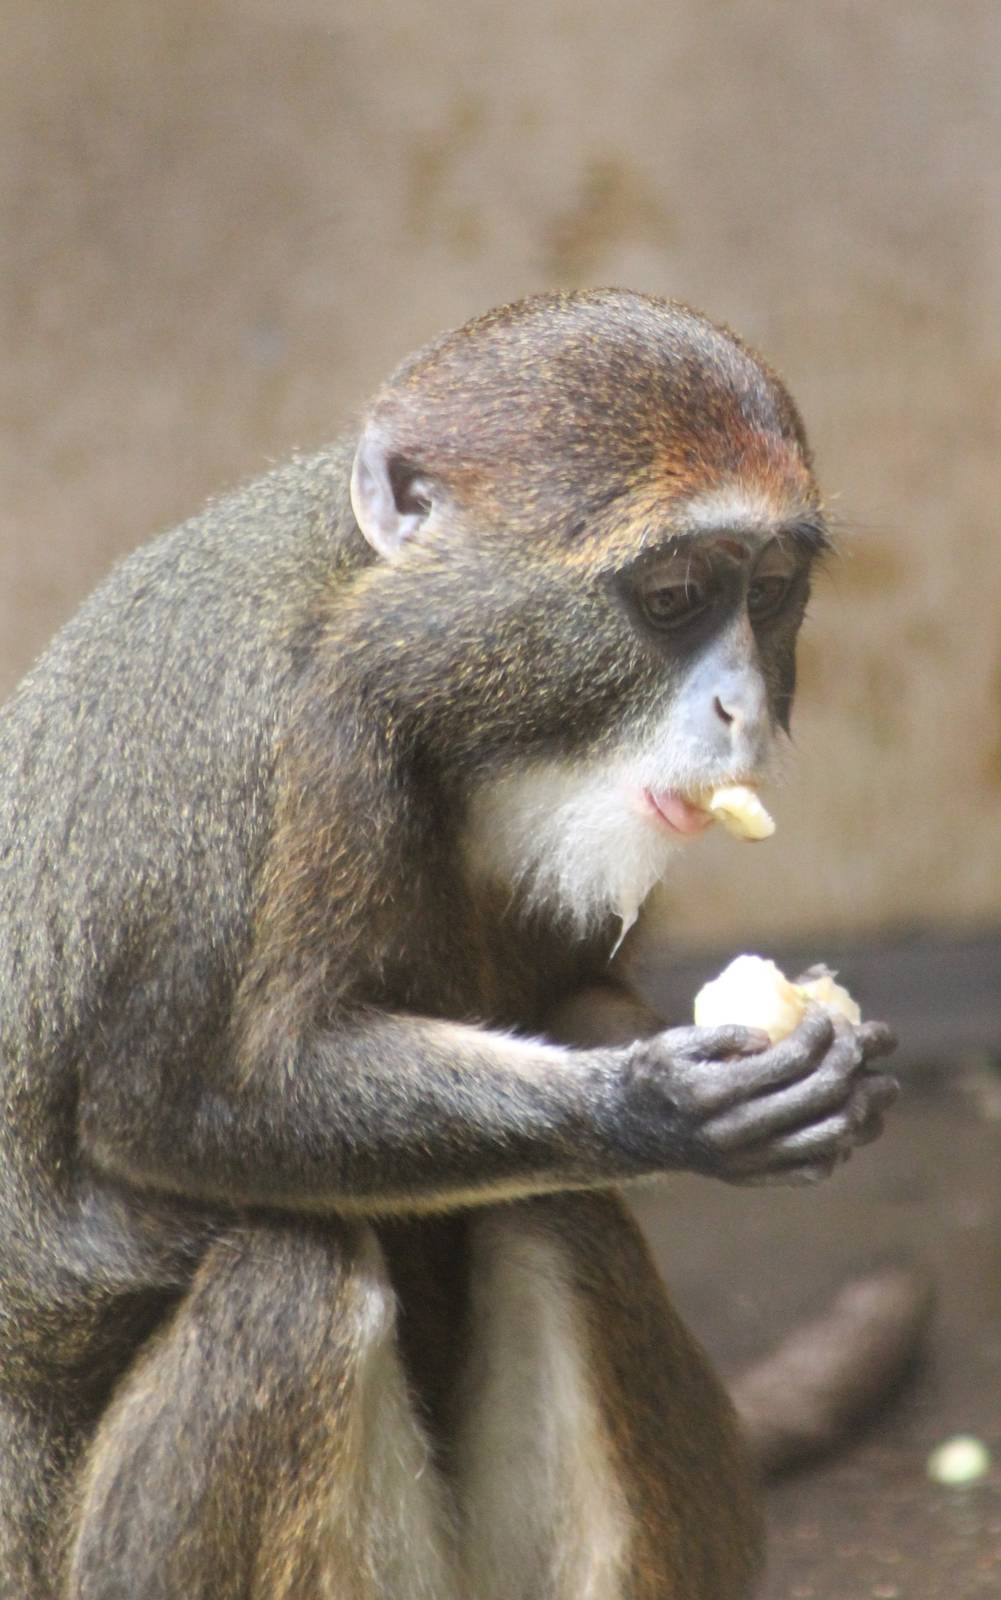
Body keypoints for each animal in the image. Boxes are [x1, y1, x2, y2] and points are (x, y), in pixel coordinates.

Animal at [0, 289, 900, 1600]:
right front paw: (652, 1108)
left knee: (561, 1210)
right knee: (291, 1274)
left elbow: (573, 1001)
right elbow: (177, 1104)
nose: (737, 708)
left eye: (770, 589)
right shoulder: (277, 741)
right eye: (676, 593)